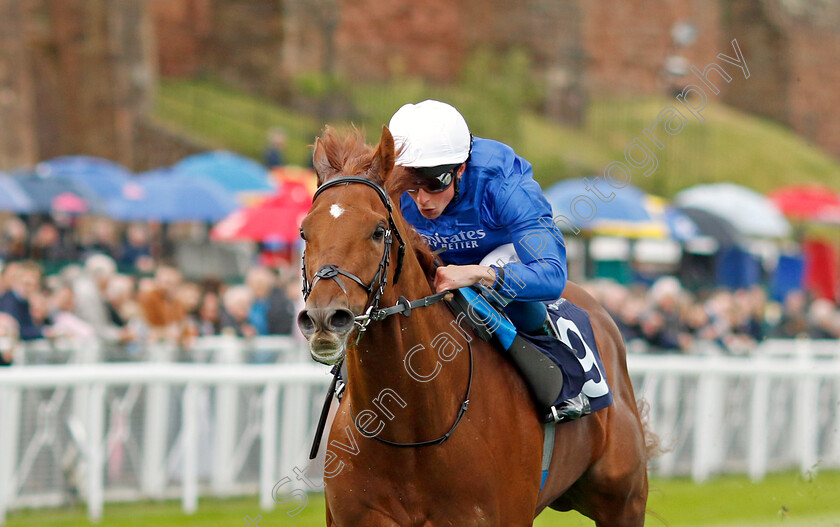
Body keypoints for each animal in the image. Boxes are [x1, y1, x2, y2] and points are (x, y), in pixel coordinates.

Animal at [298, 128, 652, 527]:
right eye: (304, 231)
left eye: (377, 230)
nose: (325, 317)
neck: (410, 428)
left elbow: (548, 263)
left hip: (624, 502)